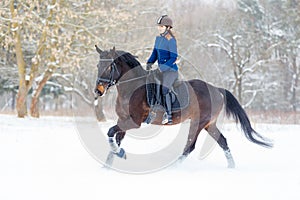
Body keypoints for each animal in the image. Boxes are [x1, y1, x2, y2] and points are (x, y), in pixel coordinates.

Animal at [94, 45, 274, 169]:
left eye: (109, 67)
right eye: (98, 66)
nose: (98, 91)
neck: (132, 87)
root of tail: (217, 90)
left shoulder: (134, 122)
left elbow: (110, 132)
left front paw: (116, 156)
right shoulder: (123, 120)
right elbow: (115, 138)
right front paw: (108, 164)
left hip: (198, 122)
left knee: (190, 146)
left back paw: (173, 167)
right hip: (209, 124)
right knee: (222, 141)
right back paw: (231, 166)